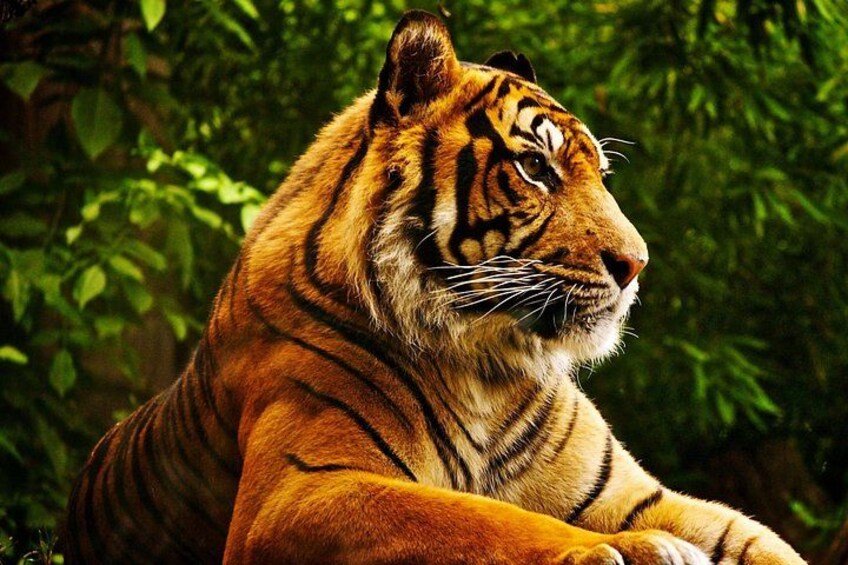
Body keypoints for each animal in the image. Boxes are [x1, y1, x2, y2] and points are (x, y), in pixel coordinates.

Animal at [64, 10, 807, 565]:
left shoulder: (636, 495)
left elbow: (763, 540)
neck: (487, 365)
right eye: (535, 168)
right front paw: (631, 549)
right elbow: (479, 519)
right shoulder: (299, 489)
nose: (637, 263)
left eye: (599, 174)